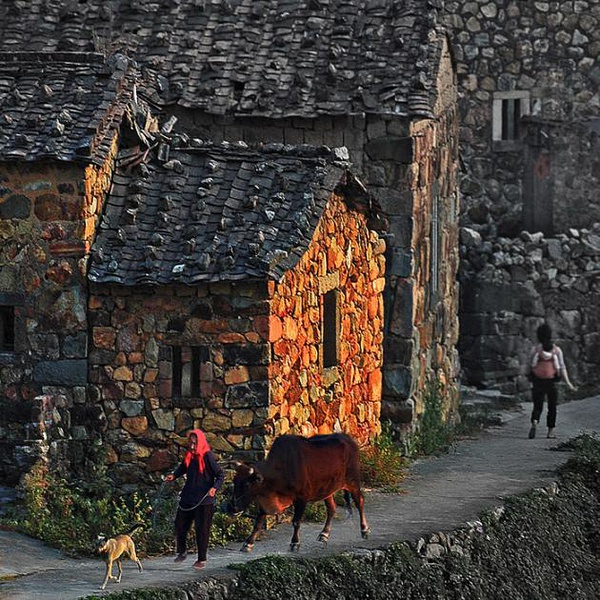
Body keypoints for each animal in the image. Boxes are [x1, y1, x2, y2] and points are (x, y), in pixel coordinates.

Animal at [229, 433, 370, 552]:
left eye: (247, 484)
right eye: (234, 481)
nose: (233, 507)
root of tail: (349, 439)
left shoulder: (301, 498)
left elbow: (296, 522)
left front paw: (295, 543)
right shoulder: (266, 502)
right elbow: (258, 523)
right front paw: (248, 544)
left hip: (353, 482)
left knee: (360, 502)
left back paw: (364, 530)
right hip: (327, 490)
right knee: (331, 509)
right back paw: (324, 534)